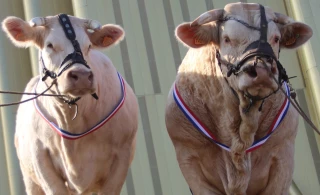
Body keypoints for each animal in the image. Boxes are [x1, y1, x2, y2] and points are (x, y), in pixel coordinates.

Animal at [2, 14, 138, 195]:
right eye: (50, 45)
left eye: (89, 46)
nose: (81, 75)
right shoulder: (40, 159)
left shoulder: (122, 155)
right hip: (30, 179)